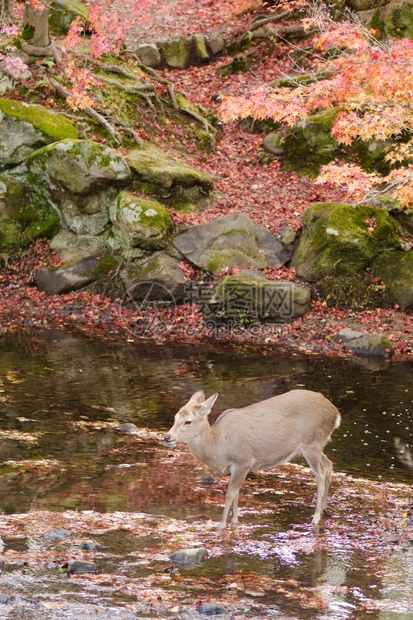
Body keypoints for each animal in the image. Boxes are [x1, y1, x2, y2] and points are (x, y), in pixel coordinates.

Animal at [164, 390, 342, 532]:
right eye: (175, 417)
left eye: (188, 421)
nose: (167, 437)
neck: (219, 446)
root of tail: (335, 413)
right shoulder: (235, 468)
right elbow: (236, 493)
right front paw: (235, 520)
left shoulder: (244, 461)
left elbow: (230, 494)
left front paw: (221, 525)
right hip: (316, 446)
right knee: (329, 464)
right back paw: (324, 507)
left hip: (312, 443)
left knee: (321, 474)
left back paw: (315, 518)